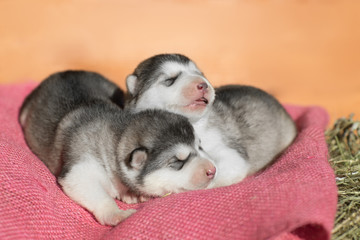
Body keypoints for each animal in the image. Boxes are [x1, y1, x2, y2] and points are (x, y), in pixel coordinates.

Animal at [19, 70, 215, 226]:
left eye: (200, 146)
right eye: (177, 162)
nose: (212, 170)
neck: (116, 138)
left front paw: (131, 194)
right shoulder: (80, 168)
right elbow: (92, 190)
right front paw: (116, 213)